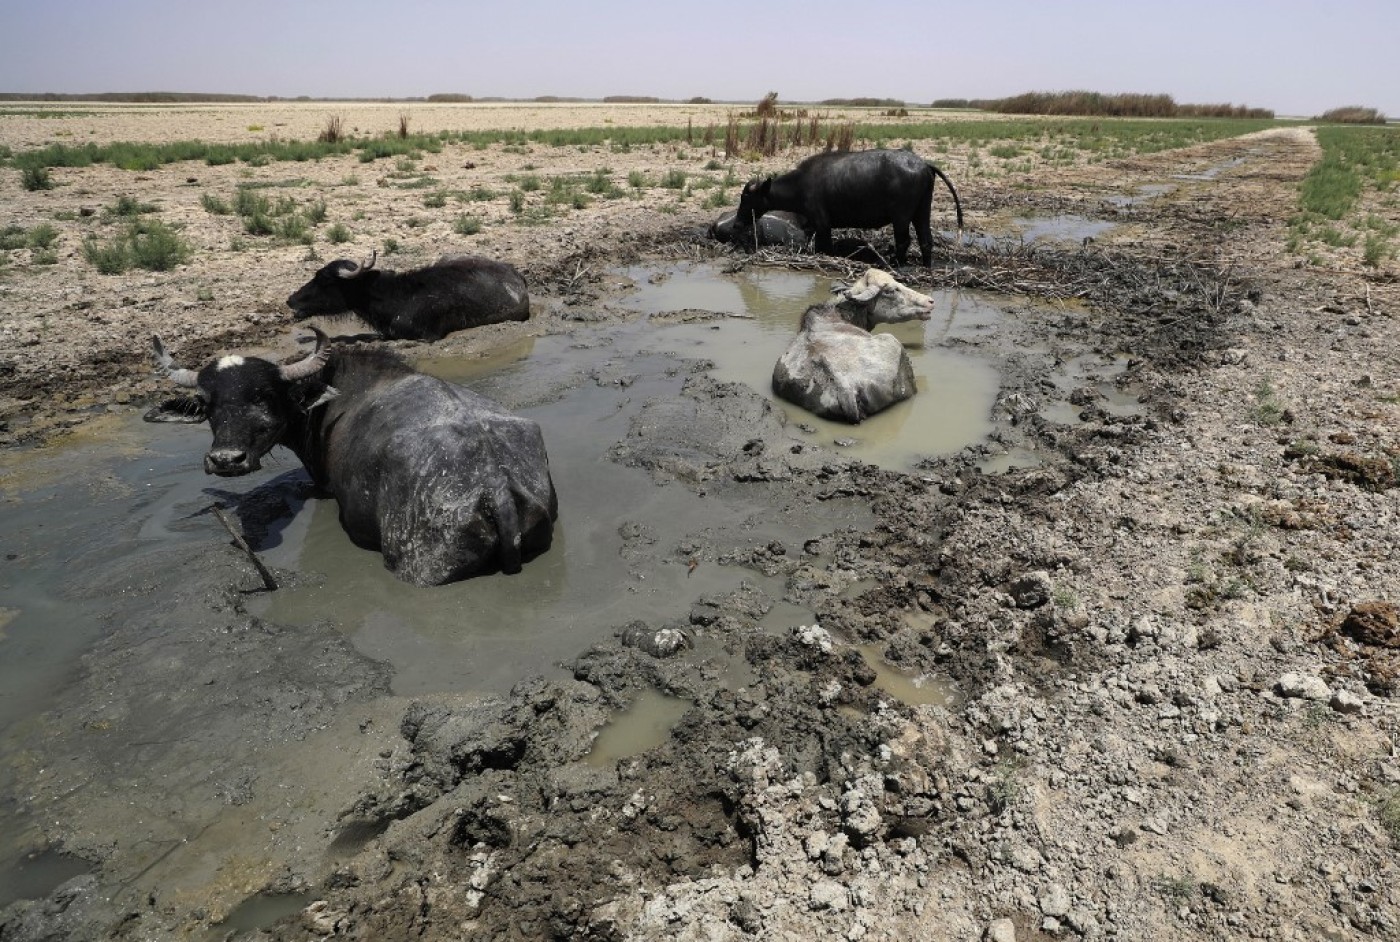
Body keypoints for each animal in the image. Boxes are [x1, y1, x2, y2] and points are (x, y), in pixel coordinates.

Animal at [733, 146, 963, 265]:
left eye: (746, 197)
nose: (737, 224)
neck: (801, 185)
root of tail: (924, 164)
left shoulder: (822, 224)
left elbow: (824, 248)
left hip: (901, 217)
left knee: (904, 241)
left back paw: (895, 264)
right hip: (922, 212)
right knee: (926, 240)